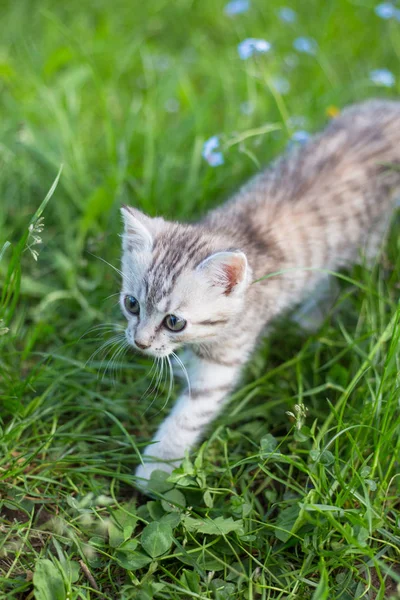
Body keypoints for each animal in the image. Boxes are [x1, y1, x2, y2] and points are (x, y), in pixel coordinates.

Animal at [119, 98, 400, 482]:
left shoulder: (223, 363)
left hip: (368, 242)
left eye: (175, 322)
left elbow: (187, 417)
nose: (140, 343)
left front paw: (157, 469)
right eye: (132, 304)